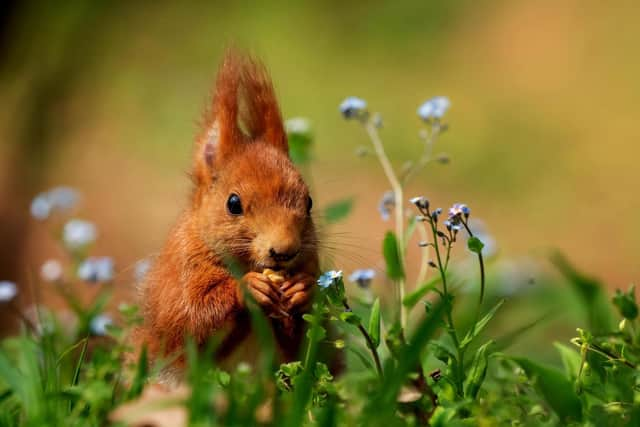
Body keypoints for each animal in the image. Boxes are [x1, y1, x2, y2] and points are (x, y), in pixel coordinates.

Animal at [134, 50, 318, 382]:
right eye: (233, 203)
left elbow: (301, 346)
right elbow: (187, 318)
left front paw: (303, 290)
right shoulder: (180, 271)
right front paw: (247, 289)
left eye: (309, 202)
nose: (284, 251)